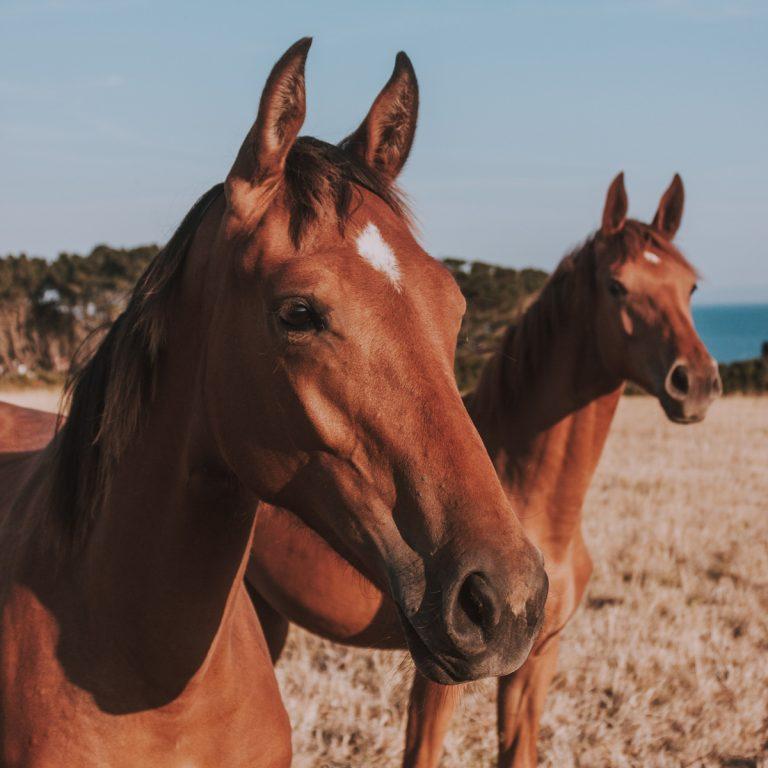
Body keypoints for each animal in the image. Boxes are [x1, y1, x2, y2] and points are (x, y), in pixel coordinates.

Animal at [243, 172, 722, 767]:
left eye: (690, 288)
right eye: (617, 286)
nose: (695, 382)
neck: (531, 502)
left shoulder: (536, 660)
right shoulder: (440, 676)